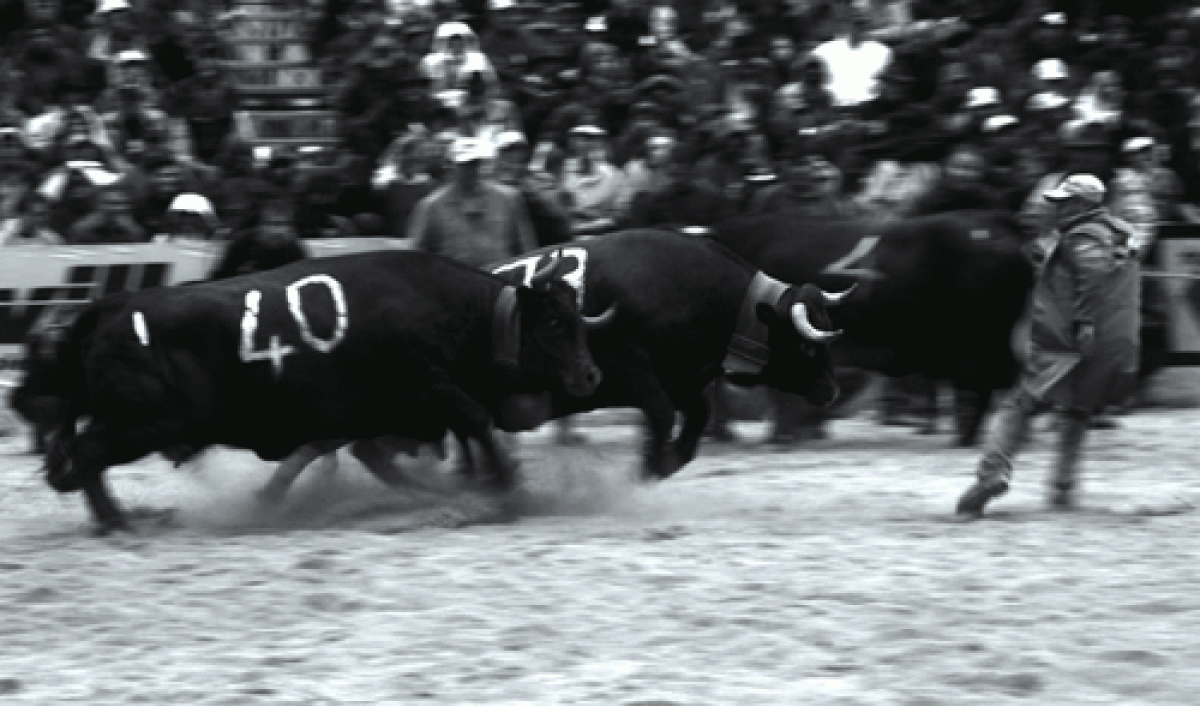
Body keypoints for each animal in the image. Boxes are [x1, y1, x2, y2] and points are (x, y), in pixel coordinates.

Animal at [25, 250, 609, 533]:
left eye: (578, 319)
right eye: (554, 323)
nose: (589, 376)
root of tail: (110, 309)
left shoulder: (381, 419)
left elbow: (386, 457)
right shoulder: (429, 392)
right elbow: (475, 424)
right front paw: (507, 490)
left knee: (80, 462)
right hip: (142, 424)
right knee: (86, 457)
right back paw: (121, 522)